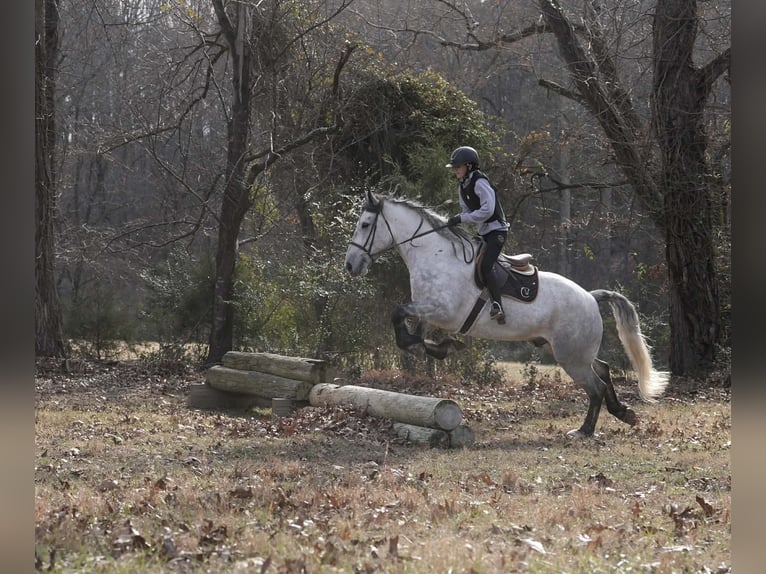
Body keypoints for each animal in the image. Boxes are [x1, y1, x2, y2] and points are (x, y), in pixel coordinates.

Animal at [344, 190, 669, 438]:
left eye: (365, 224)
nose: (350, 265)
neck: (433, 254)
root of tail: (590, 297)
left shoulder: (442, 311)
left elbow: (399, 315)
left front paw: (437, 346)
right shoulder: (428, 311)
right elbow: (414, 333)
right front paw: (440, 347)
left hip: (571, 357)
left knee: (596, 386)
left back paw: (584, 430)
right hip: (568, 350)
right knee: (602, 369)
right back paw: (623, 412)